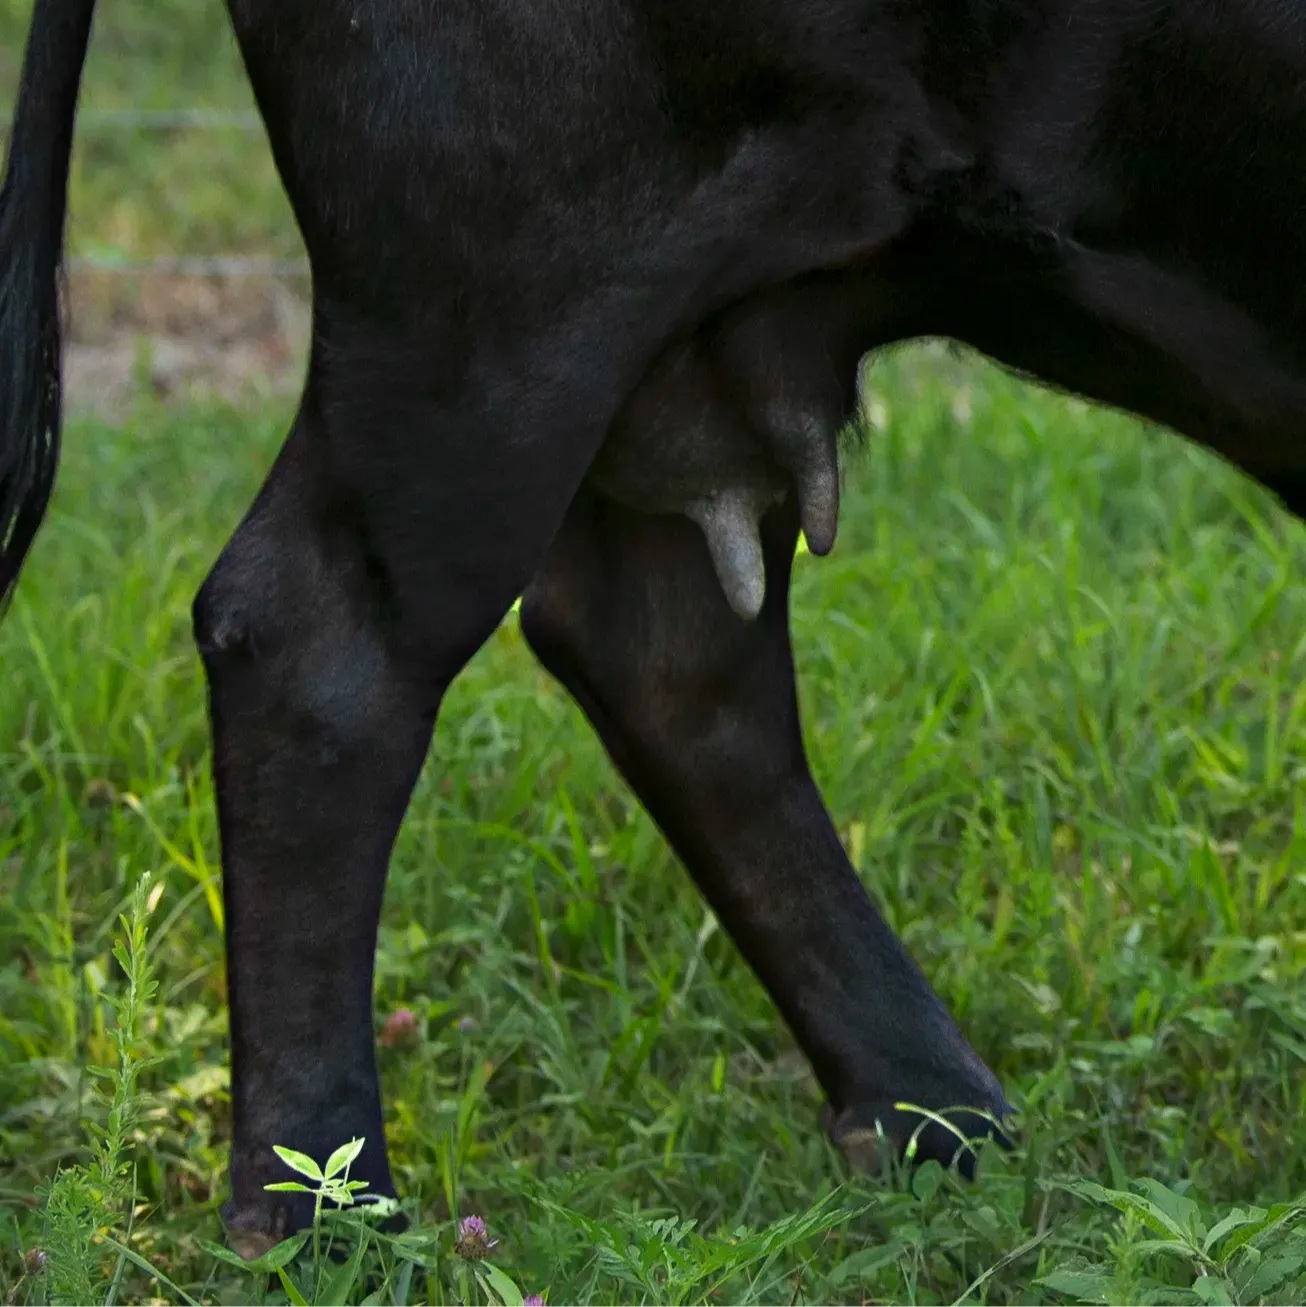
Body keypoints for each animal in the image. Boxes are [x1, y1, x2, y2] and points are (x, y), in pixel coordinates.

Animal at [4, 0, 1305, 1257]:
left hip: (679, 334)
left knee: (672, 664)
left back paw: (936, 1116)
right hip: (498, 307)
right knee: (318, 643)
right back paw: (326, 1211)